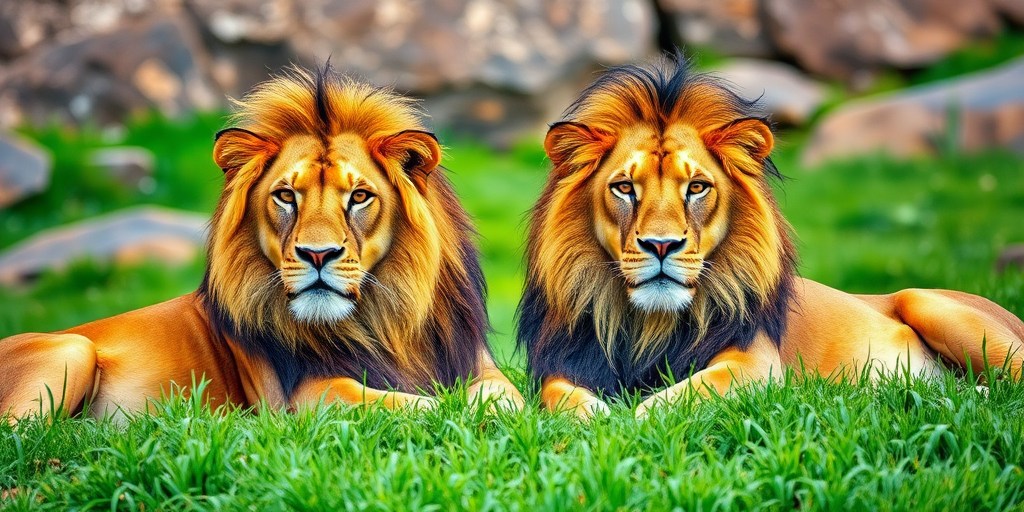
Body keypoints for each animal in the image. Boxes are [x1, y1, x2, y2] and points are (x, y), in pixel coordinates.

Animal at [0, 65, 523, 421]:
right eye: (286, 195)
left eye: (359, 196)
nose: (318, 255)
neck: (383, 321)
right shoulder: (303, 397)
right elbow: (418, 404)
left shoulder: (482, 369)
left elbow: (506, 400)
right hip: (71, 350)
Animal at [517, 54, 1024, 420]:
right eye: (624, 187)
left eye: (696, 187)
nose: (662, 246)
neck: (649, 326)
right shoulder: (559, 366)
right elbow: (559, 396)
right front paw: (595, 417)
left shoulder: (757, 364)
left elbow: (684, 393)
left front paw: (633, 419)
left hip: (928, 302)